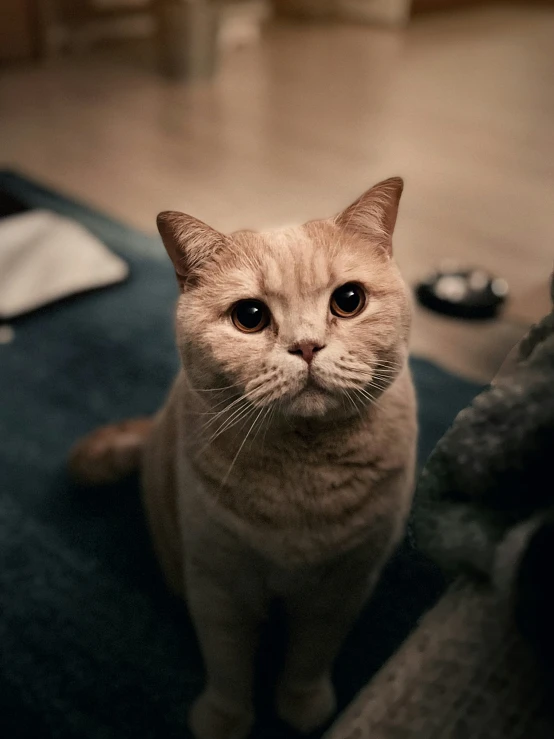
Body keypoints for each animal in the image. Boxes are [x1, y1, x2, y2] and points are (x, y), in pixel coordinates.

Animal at [69, 178, 414, 739]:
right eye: (249, 317)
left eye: (349, 301)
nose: (306, 346)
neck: (303, 473)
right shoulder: (218, 586)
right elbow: (228, 666)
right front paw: (225, 720)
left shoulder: (343, 587)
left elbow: (310, 657)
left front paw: (302, 706)